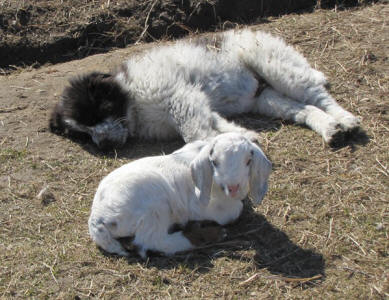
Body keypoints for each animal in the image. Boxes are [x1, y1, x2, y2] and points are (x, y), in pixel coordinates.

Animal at [50, 28, 360, 149]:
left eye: (99, 111)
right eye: (82, 134)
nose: (103, 146)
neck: (134, 100)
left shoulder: (179, 98)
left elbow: (195, 134)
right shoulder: (197, 102)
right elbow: (217, 123)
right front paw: (244, 136)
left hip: (277, 67)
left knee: (317, 94)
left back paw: (346, 120)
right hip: (267, 98)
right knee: (303, 109)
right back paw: (330, 129)